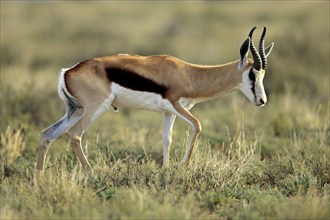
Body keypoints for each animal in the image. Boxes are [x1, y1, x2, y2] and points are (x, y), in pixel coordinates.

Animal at [36, 26, 274, 174]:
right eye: (252, 75)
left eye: (263, 74)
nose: (262, 100)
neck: (188, 74)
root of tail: (68, 71)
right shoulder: (176, 105)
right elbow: (198, 125)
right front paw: (184, 167)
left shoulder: (168, 112)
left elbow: (166, 139)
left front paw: (166, 170)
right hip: (95, 109)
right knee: (74, 136)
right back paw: (92, 174)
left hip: (75, 110)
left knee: (47, 135)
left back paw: (40, 183)